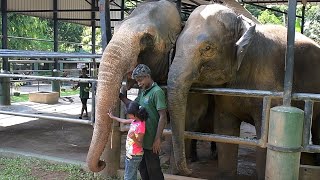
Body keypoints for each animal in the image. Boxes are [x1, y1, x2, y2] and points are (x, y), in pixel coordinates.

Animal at [168, 2, 320, 179]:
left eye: (207, 48)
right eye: (176, 45)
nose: (189, 171)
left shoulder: (272, 88)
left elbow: (265, 136)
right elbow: (225, 130)